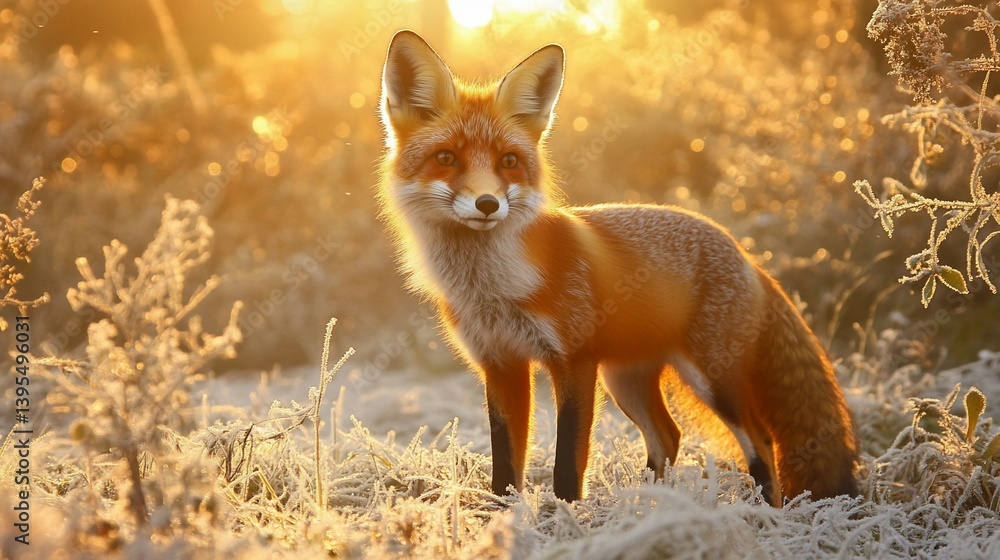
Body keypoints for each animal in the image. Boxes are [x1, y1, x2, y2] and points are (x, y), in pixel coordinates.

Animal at [376, 29, 858, 505]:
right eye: (446, 158)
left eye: (508, 161)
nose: (488, 203)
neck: (491, 287)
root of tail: (745, 253)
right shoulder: (500, 364)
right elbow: (505, 471)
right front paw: (505, 516)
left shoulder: (574, 360)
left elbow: (567, 464)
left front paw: (566, 518)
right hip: (625, 380)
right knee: (668, 435)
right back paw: (650, 507)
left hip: (711, 379)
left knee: (761, 443)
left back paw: (764, 514)